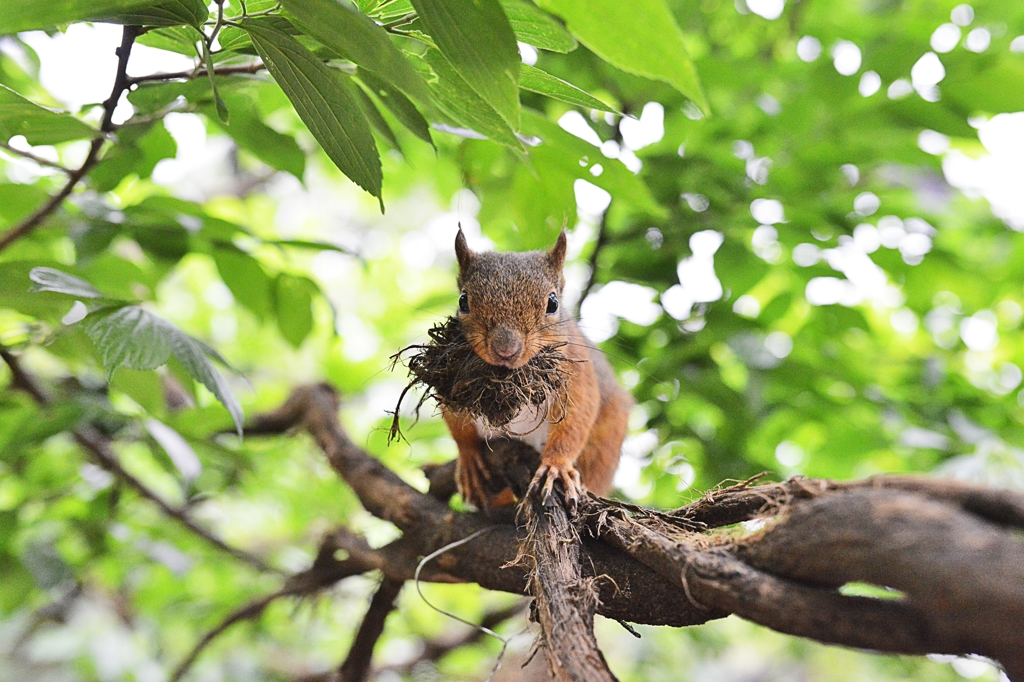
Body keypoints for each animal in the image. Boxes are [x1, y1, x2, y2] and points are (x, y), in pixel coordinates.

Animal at [446, 231, 634, 507]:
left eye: (553, 303)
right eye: (463, 300)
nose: (506, 350)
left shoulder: (576, 374)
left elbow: (576, 418)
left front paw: (557, 465)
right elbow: (458, 427)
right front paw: (469, 458)